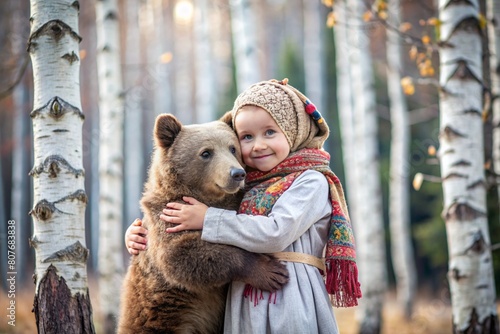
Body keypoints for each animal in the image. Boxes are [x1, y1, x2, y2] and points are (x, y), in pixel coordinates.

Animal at [118, 113, 290, 332]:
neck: (207, 199)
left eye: (232, 148)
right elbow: (180, 255)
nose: (237, 173)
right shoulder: (167, 215)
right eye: (206, 152)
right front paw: (270, 272)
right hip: (161, 313)